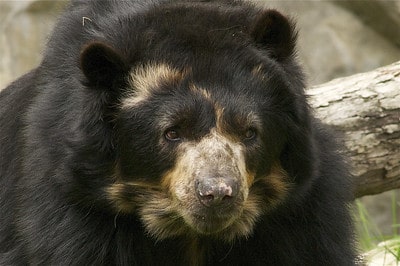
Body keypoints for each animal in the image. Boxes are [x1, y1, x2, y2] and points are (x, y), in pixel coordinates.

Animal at [0, 0, 356, 266]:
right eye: (171, 133)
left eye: (250, 132)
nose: (217, 194)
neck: (191, 235)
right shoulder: (72, 210)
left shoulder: (302, 215)